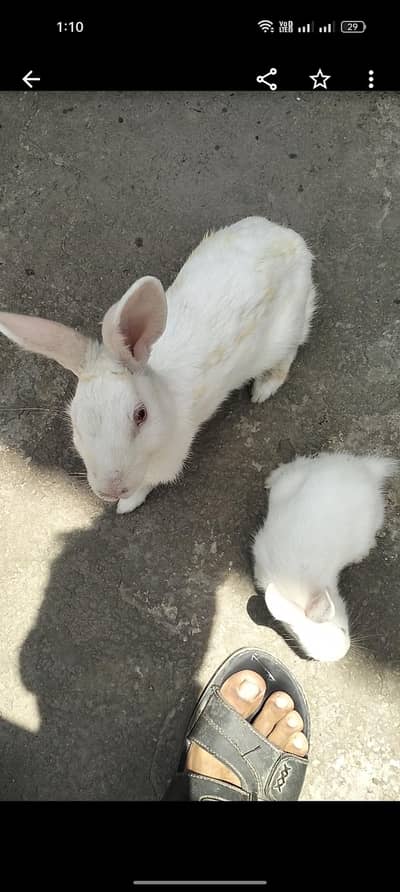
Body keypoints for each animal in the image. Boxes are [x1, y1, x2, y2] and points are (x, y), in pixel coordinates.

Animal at [0, 216, 316, 514]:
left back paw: (265, 387)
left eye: (141, 415)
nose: (111, 490)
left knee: (292, 348)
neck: (167, 404)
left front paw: (126, 505)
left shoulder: (168, 461)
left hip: (285, 331)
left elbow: (146, 485)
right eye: (74, 420)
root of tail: (289, 238)